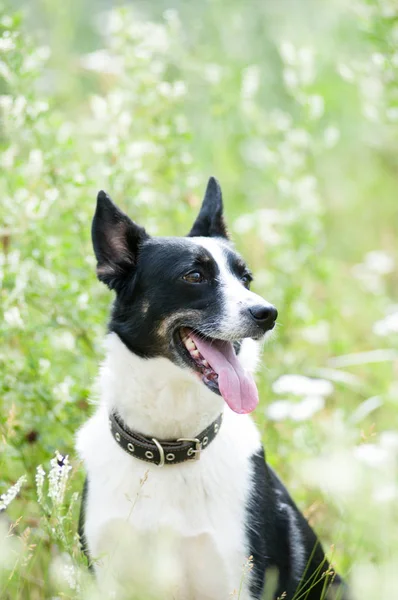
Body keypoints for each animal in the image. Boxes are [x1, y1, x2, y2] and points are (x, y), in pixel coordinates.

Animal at [75, 178, 348, 600]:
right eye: (193, 276)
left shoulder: (239, 578)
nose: (268, 313)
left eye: (246, 279)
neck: (169, 446)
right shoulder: (109, 577)